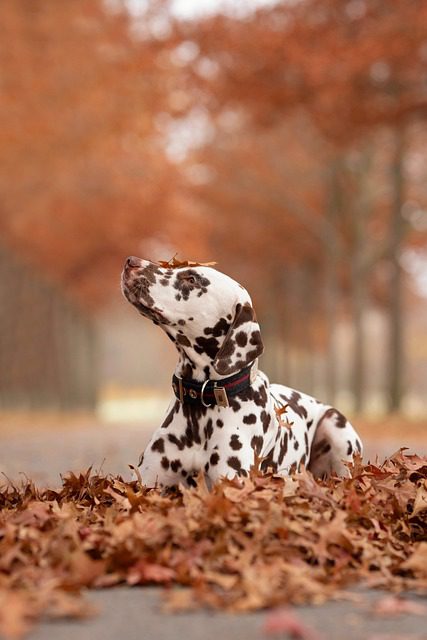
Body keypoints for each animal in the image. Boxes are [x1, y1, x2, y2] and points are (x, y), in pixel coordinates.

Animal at [121, 258, 364, 488]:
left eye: (192, 279)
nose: (131, 261)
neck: (203, 401)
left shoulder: (232, 479)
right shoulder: (146, 482)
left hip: (336, 427)